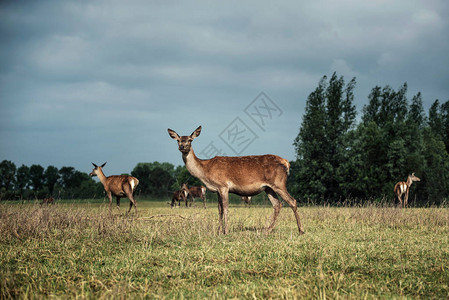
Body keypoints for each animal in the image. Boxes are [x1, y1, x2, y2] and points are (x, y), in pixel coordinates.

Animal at [168, 125, 304, 236]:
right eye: (178, 140)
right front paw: (218, 231)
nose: (182, 146)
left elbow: (226, 208)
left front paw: (226, 231)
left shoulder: (223, 186)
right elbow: (219, 209)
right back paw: (268, 230)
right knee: (277, 204)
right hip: (268, 188)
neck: (205, 170)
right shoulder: (217, 189)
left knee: (292, 201)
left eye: (190, 140)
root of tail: (286, 163)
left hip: (279, 183)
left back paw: (301, 230)